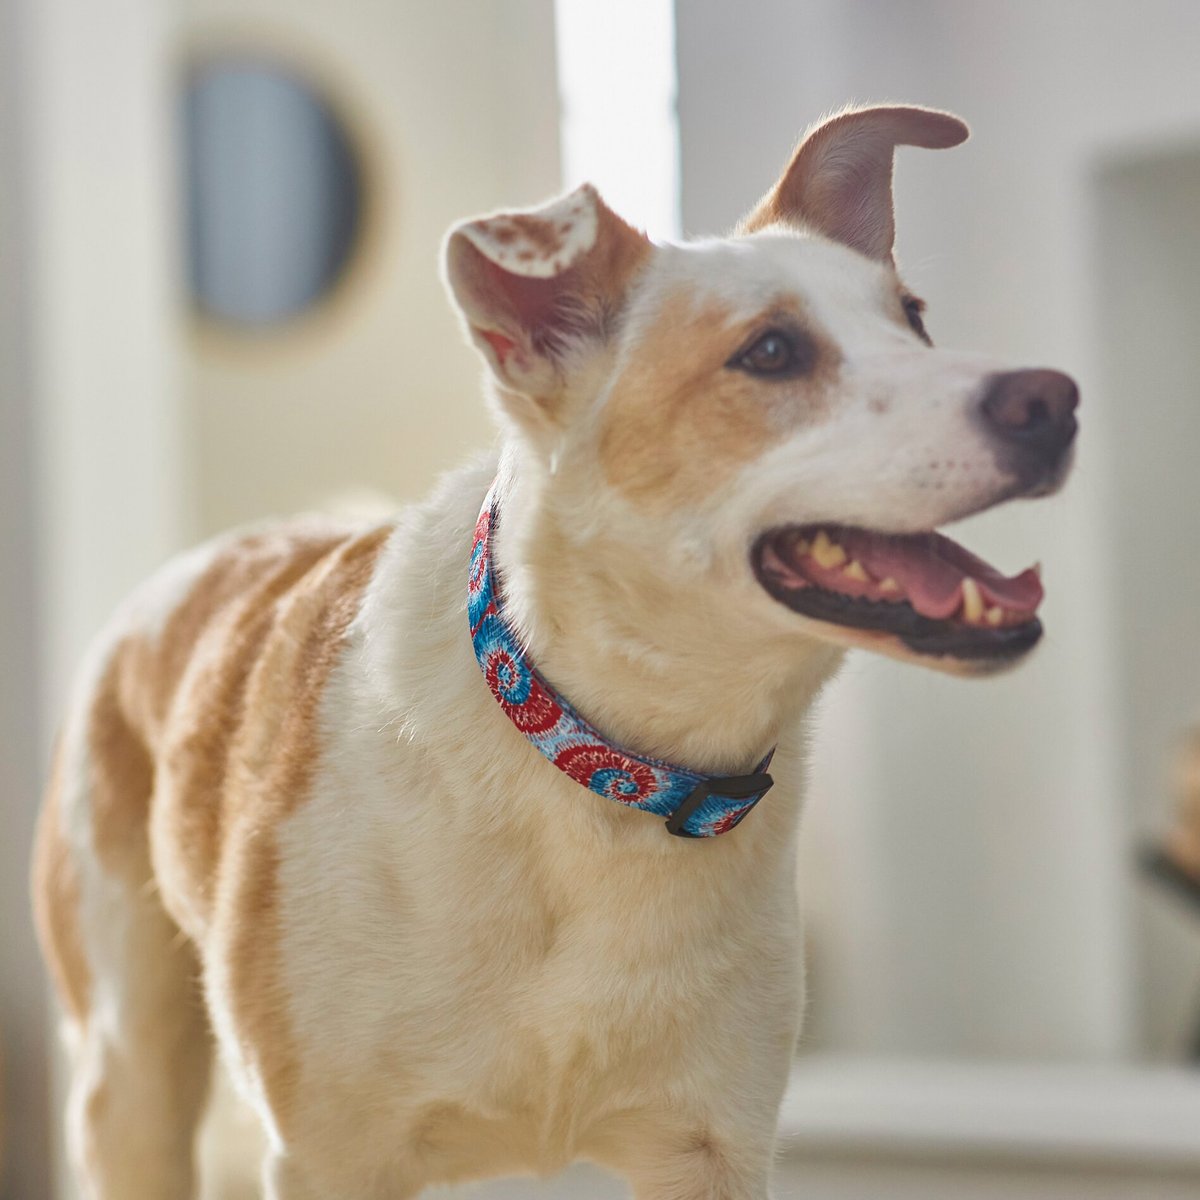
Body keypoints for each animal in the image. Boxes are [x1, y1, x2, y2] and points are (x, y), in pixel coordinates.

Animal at [30, 105, 1080, 1200]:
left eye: (915, 320)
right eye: (772, 352)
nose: (1053, 400)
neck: (605, 765)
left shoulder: (714, 1148)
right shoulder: (329, 1156)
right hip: (127, 1084)